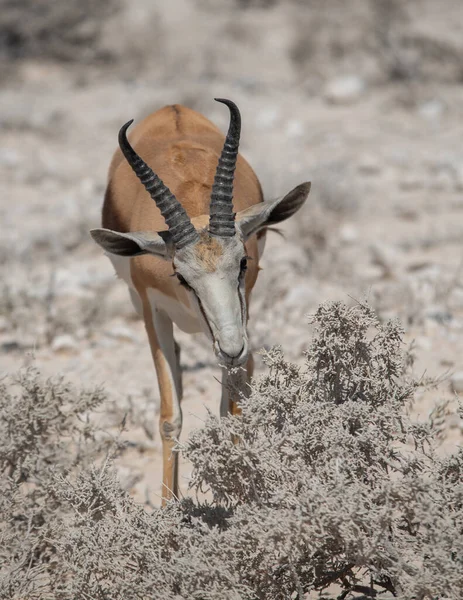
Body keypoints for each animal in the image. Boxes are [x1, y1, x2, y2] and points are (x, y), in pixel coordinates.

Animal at [90, 98, 312, 502]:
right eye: (180, 275)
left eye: (243, 262)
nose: (230, 348)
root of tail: (172, 108)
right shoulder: (150, 311)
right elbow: (169, 416)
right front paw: (168, 510)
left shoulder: (242, 311)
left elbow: (233, 409)